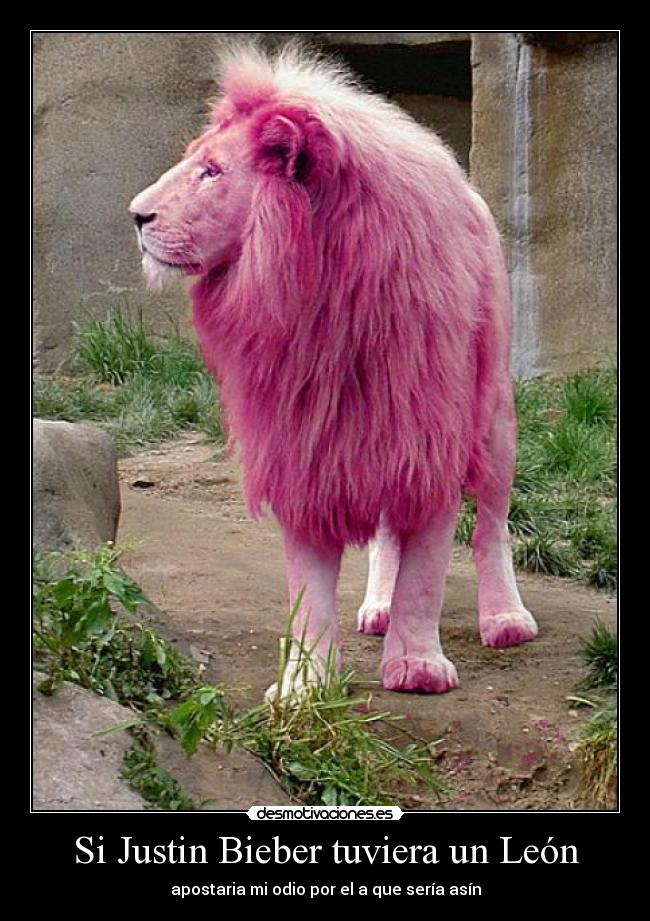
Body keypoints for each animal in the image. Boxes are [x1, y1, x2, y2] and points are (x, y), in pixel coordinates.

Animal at [129, 43, 537, 697]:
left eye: (212, 171)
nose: (136, 216)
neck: (315, 304)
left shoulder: (430, 436)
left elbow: (428, 569)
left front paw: (417, 666)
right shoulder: (303, 446)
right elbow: (310, 590)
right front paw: (304, 686)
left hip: (494, 417)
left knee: (492, 526)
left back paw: (505, 617)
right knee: (386, 536)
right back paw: (378, 608)